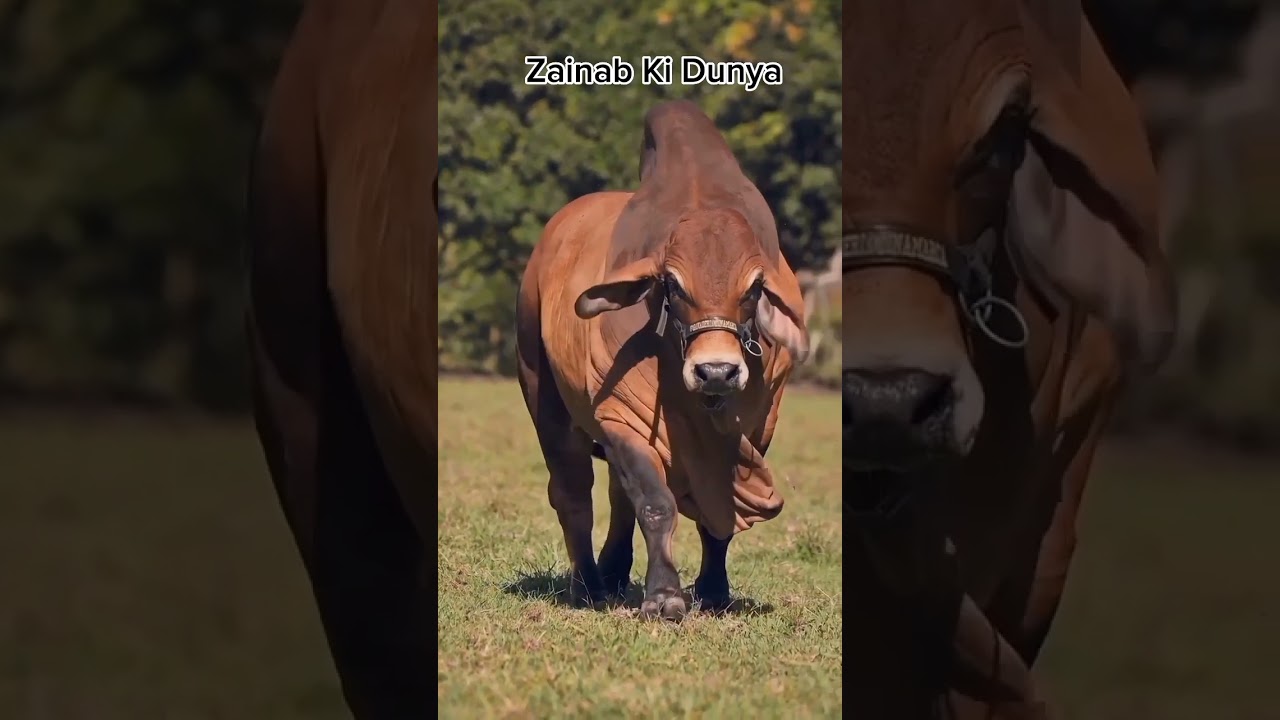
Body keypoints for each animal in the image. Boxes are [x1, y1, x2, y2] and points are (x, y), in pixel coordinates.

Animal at [515, 100, 811, 621]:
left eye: (755, 287)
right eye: (672, 284)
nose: (717, 370)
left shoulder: (759, 425)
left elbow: (716, 517)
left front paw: (713, 590)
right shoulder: (622, 415)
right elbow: (655, 503)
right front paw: (665, 596)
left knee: (616, 497)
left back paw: (614, 575)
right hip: (542, 395)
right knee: (574, 495)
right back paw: (588, 586)